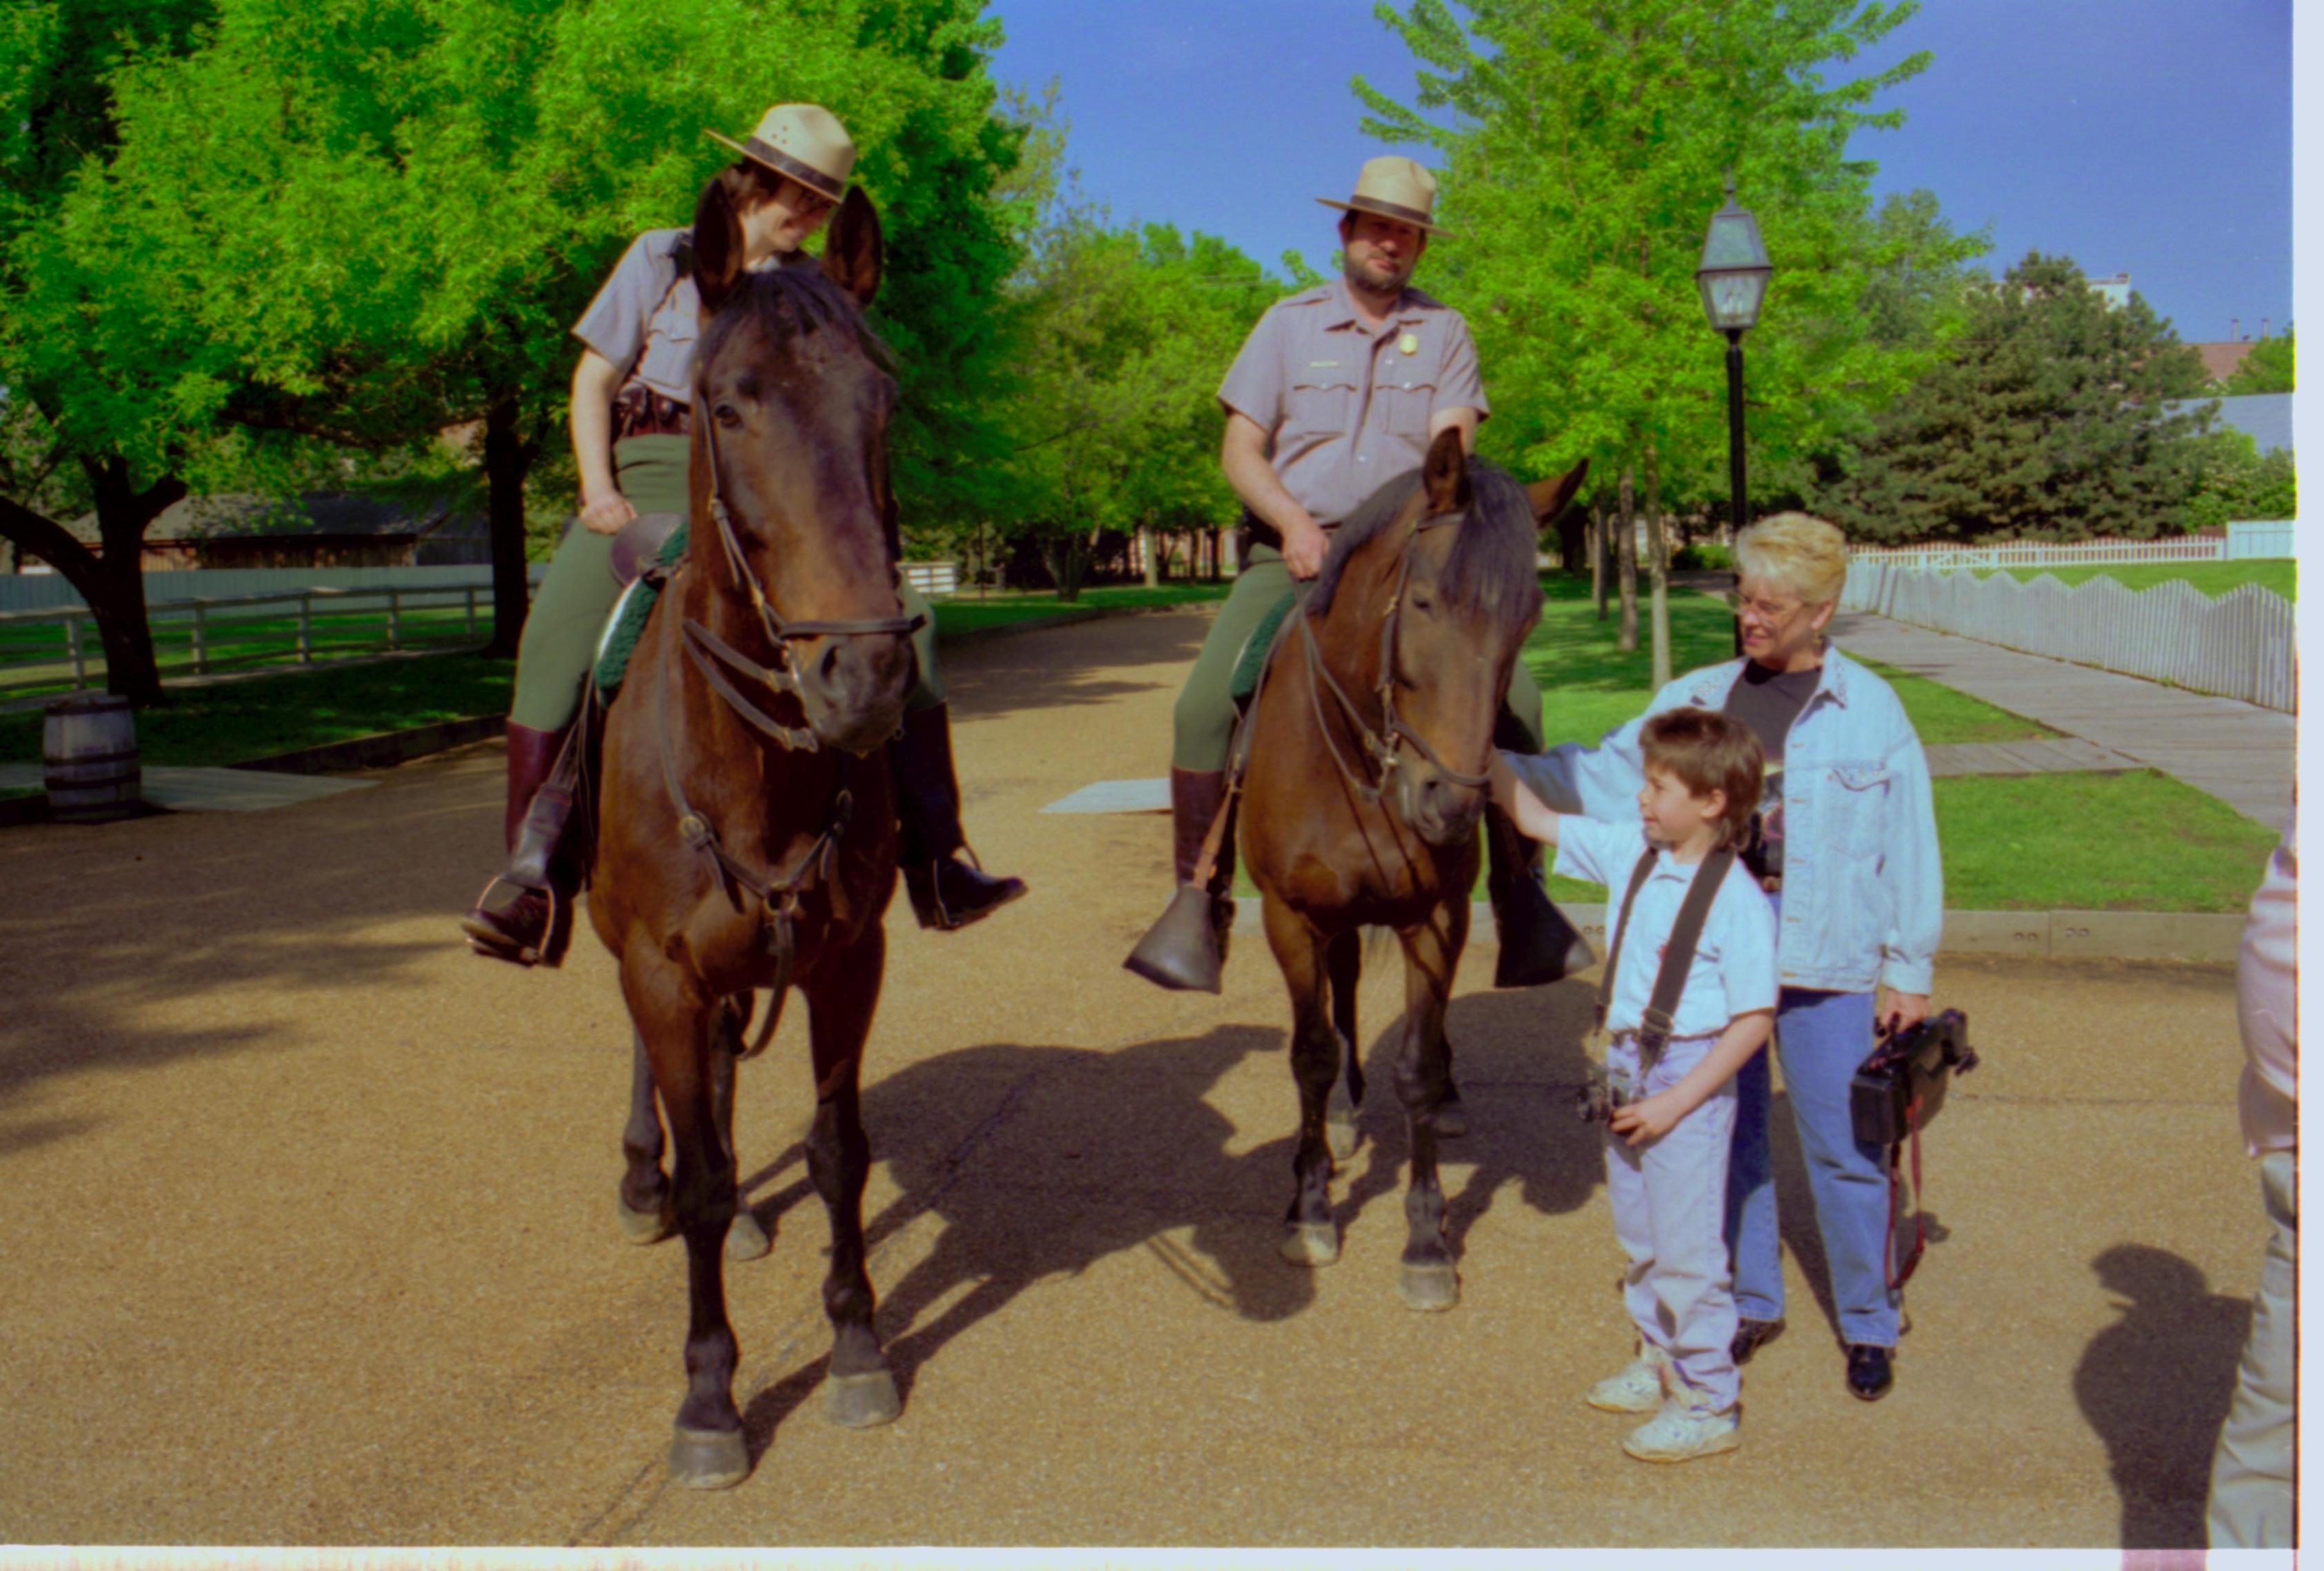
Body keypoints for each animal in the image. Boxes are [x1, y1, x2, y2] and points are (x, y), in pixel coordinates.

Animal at [1245, 432, 1590, 1310]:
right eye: (1427, 601)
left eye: (1530, 614)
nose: (1449, 804)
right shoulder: (1289, 917)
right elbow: (1308, 1054)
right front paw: (1309, 1206)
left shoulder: (1435, 919)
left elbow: (1419, 1069)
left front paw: (1427, 1238)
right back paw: (1335, 1118)